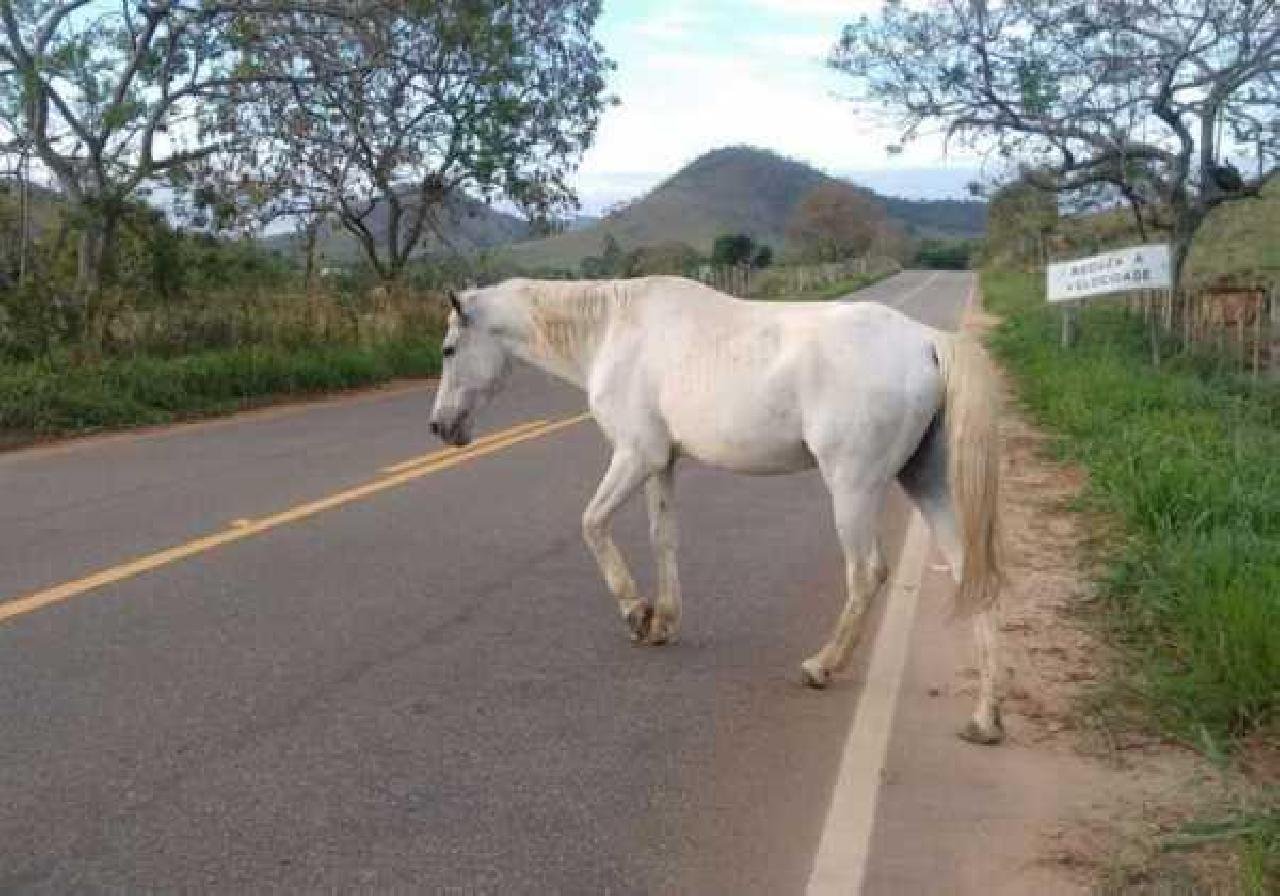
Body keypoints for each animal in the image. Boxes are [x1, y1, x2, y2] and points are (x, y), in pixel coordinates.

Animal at [435, 276, 1003, 747]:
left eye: (448, 349)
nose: (440, 427)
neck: (614, 329)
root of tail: (927, 342)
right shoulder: (662, 463)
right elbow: (663, 537)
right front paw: (662, 622)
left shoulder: (636, 455)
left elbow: (592, 524)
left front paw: (635, 611)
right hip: (925, 482)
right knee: (969, 573)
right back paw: (986, 719)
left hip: (853, 487)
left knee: (866, 574)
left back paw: (822, 666)